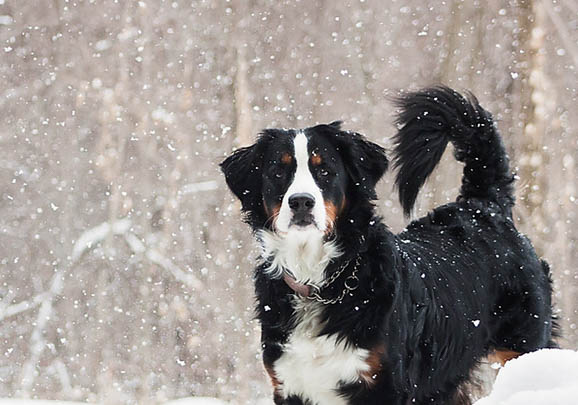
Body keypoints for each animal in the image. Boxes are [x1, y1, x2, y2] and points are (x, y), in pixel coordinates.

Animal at [218, 86, 556, 404]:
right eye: (278, 171)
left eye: (325, 170)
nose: (301, 201)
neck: (322, 283)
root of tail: (483, 206)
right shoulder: (289, 384)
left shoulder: (384, 384)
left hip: (522, 347)